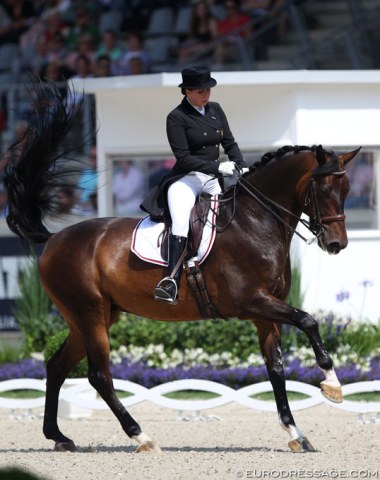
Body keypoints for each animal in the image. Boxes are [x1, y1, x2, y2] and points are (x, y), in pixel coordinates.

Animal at [3, 79, 360, 454]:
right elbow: (308, 320)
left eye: (348, 188)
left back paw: (58, 435)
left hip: (91, 316)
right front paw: (332, 384)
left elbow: (275, 368)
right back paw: (141, 436)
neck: (255, 221)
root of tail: (54, 238)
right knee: (98, 376)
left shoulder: (265, 311)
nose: (336, 244)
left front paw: (296, 433)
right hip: (90, 314)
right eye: (324, 189)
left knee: (57, 366)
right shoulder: (251, 301)